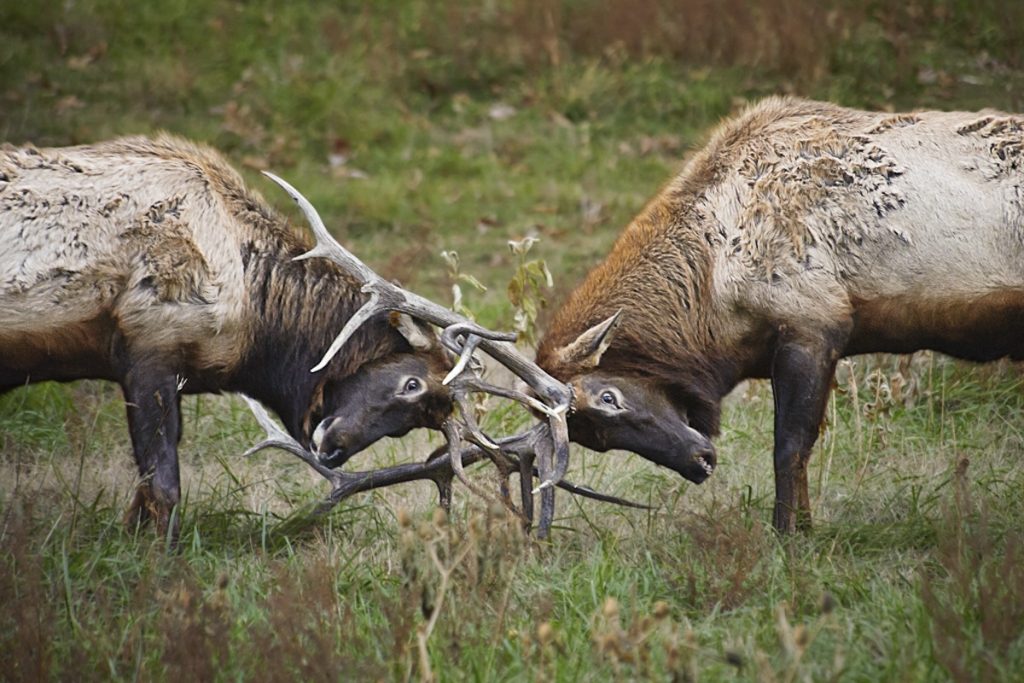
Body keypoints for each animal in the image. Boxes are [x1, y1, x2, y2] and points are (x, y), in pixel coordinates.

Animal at [535, 96, 1024, 533]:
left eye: (609, 397)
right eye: (597, 441)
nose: (700, 462)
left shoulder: (815, 320)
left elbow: (789, 447)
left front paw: (790, 535)